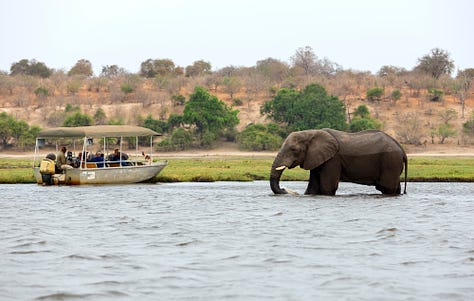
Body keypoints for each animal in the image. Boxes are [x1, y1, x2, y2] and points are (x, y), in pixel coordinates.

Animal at [270, 128, 408, 195]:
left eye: (293, 149)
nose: (284, 189)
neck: (311, 133)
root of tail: (402, 149)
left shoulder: (333, 159)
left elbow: (327, 187)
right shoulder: (316, 158)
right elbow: (312, 188)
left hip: (390, 161)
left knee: (387, 187)